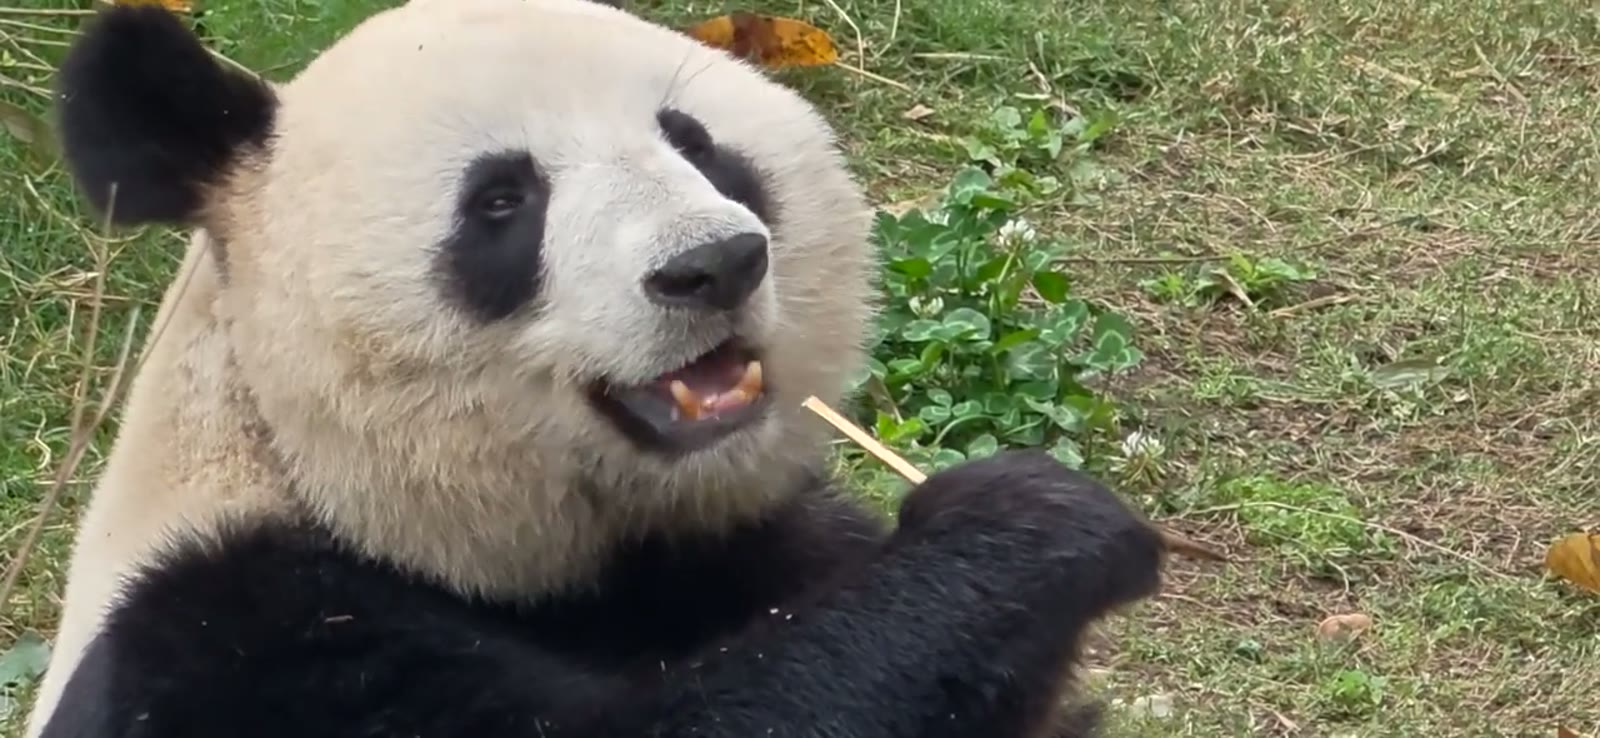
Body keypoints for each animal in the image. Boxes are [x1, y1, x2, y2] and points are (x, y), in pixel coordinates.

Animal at [27, 0, 1165, 736]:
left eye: (697, 145)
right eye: (501, 202)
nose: (714, 264)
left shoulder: (749, 539)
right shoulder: (230, 640)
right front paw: (1025, 522)